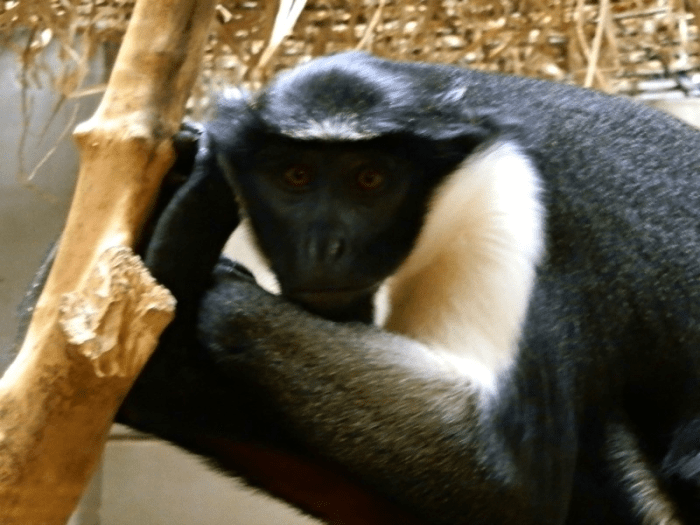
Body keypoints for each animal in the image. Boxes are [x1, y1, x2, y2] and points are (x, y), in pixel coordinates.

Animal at [13, 52, 700, 524]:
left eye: (370, 179)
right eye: (295, 175)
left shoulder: (515, 197)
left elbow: (505, 481)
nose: (325, 247)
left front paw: (204, 250)